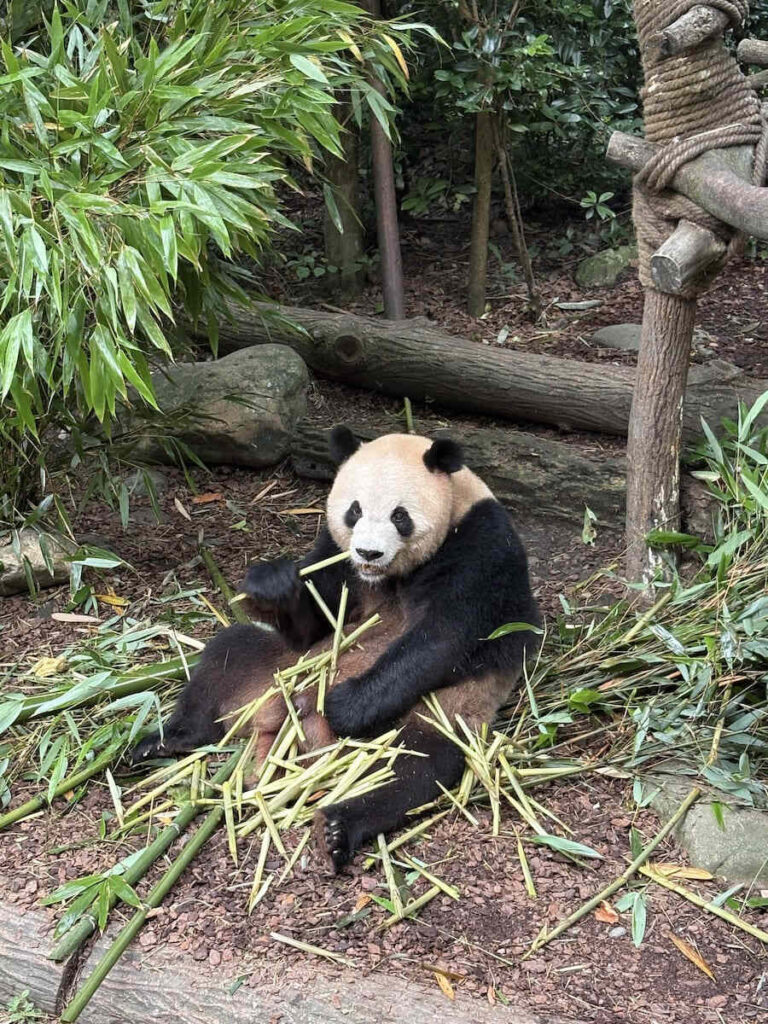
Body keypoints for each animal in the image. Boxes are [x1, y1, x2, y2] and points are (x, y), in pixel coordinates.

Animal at [133, 427, 542, 871]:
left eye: (400, 515)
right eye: (354, 511)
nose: (368, 552)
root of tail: (280, 730)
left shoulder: (481, 546)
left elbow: (445, 638)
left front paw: (345, 705)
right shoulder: (333, 552)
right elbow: (317, 617)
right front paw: (272, 583)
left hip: (435, 713)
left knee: (410, 767)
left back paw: (338, 825)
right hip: (276, 667)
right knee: (226, 655)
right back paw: (165, 740)